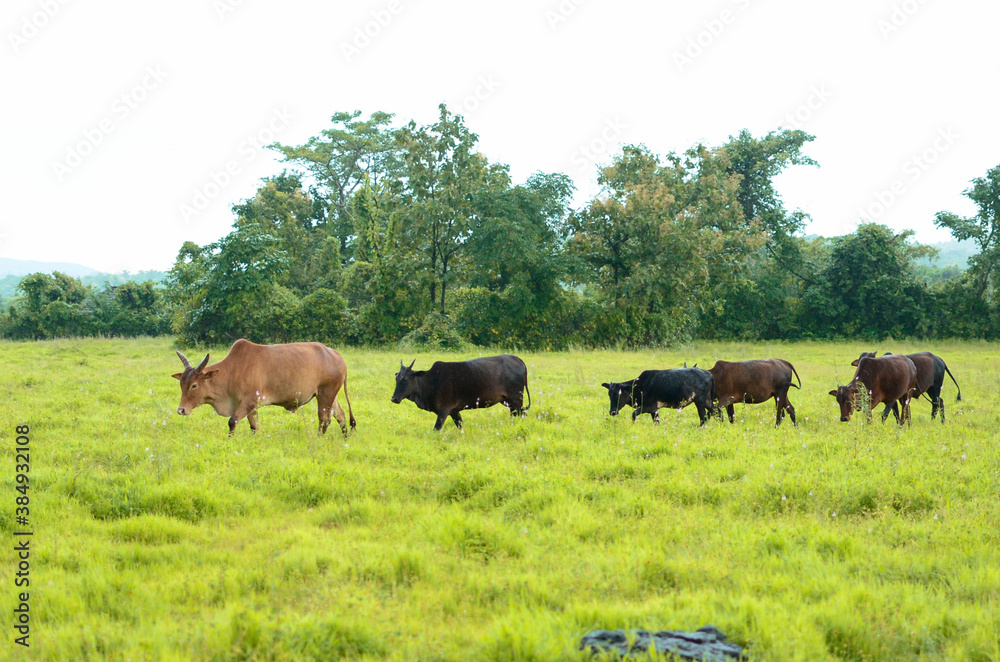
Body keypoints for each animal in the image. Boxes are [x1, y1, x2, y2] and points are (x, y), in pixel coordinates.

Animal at [172, 340, 356, 438]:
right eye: (181, 384)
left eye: (194, 385)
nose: (181, 410)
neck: (233, 371)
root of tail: (337, 356)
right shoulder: (251, 407)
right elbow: (254, 426)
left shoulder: (249, 401)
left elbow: (232, 421)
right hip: (328, 395)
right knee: (341, 415)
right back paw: (345, 437)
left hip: (326, 394)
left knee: (324, 419)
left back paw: (319, 438)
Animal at [390, 356, 532, 434]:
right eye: (396, 379)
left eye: (405, 380)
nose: (393, 398)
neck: (430, 382)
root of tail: (519, 360)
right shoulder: (454, 411)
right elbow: (460, 425)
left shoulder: (444, 410)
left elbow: (436, 429)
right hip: (508, 402)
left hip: (516, 399)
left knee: (522, 414)